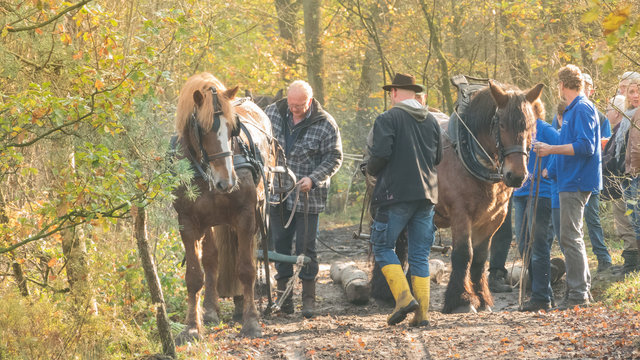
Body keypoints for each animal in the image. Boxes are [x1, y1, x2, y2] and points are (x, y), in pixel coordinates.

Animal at [172, 71, 276, 344]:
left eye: (233, 128)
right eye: (202, 128)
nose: (227, 182)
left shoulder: (246, 216)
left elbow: (247, 270)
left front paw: (252, 323)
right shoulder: (187, 222)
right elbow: (195, 276)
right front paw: (192, 327)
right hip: (211, 220)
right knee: (211, 259)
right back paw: (210, 310)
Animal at [432, 81, 544, 312]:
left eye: (530, 126)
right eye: (501, 125)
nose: (516, 175)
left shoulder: (493, 217)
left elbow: (480, 257)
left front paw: (482, 298)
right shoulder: (460, 214)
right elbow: (463, 254)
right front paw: (462, 300)